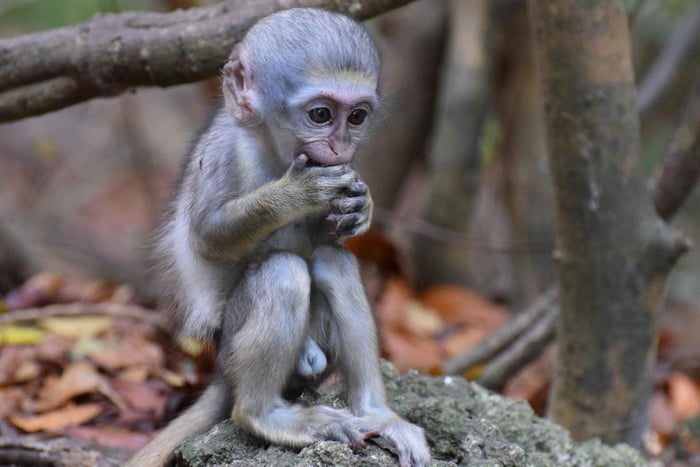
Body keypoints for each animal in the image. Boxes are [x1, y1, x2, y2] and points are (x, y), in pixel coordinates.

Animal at [127, 8, 430, 467]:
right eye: (321, 115)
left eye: (356, 117)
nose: (340, 146)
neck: (271, 149)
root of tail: (222, 371)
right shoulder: (227, 153)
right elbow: (206, 237)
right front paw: (296, 194)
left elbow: (329, 233)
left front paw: (362, 207)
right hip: (234, 343)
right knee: (283, 272)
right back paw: (263, 414)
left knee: (333, 261)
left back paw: (376, 413)